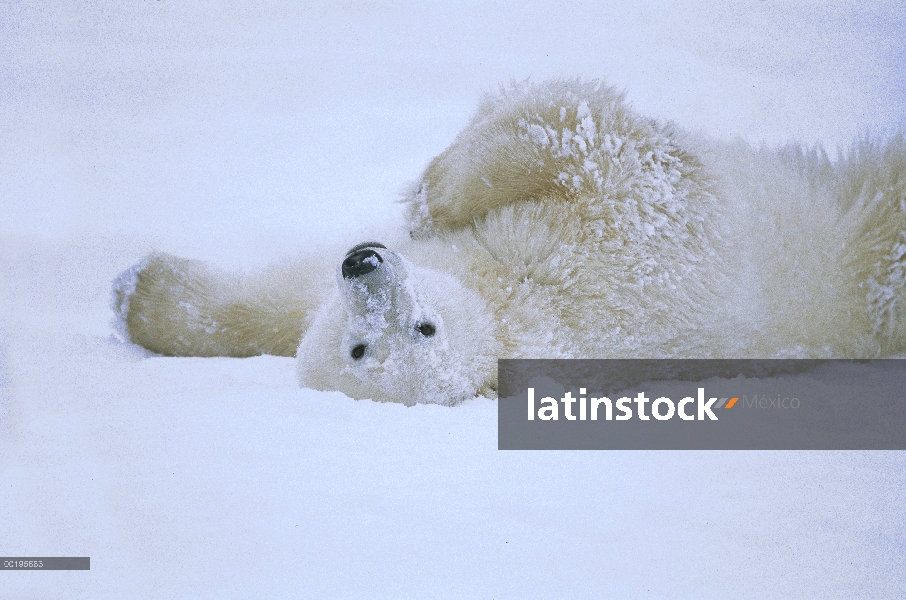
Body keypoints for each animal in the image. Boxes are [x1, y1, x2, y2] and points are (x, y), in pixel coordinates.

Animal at [115, 78, 904, 404]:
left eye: (424, 328)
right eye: (359, 349)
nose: (365, 263)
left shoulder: (628, 247)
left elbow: (581, 137)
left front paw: (431, 195)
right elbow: (278, 306)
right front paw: (138, 294)